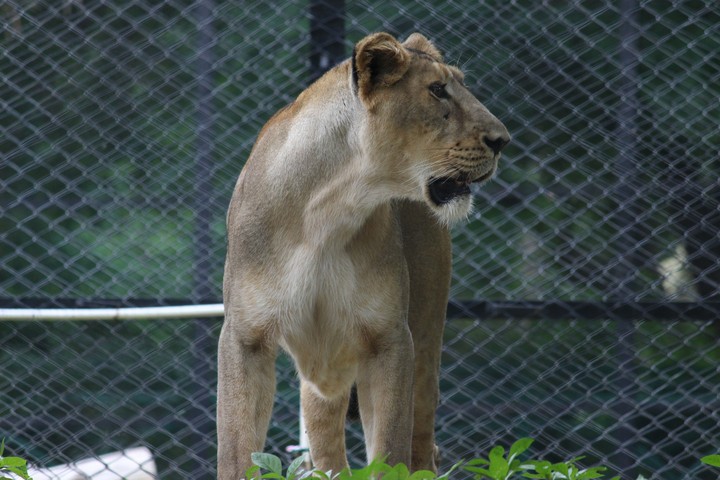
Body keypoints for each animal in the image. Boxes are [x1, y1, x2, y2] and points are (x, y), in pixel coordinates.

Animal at [218, 32, 509, 479]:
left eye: (459, 84)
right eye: (437, 90)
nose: (502, 140)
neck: (325, 213)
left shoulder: (390, 338)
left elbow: (390, 451)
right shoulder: (243, 337)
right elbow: (236, 452)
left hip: (425, 338)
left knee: (422, 445)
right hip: (321, 378)